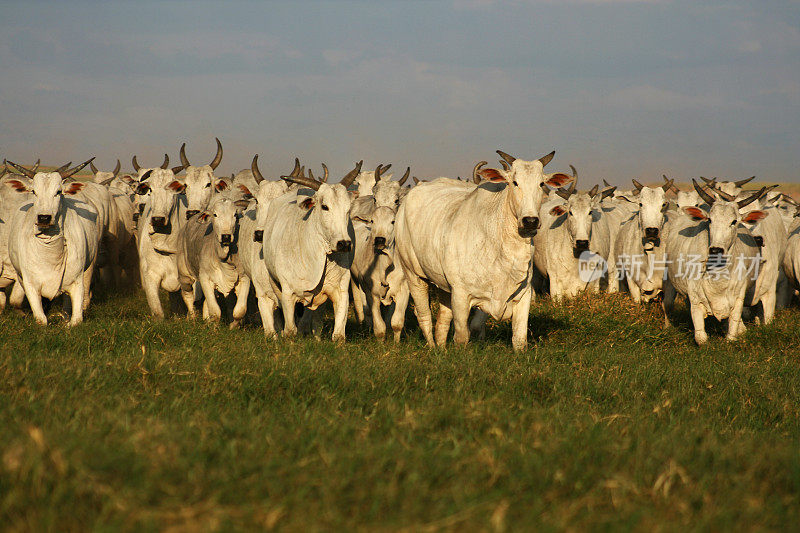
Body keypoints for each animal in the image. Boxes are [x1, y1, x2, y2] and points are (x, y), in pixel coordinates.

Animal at [5, 159, 99, 324]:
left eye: (58, 192)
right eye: (34, 192)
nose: (44, 218)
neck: (50, 252)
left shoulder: (77, 281)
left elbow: (76, 320)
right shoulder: (30, 283)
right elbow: (41, 319)